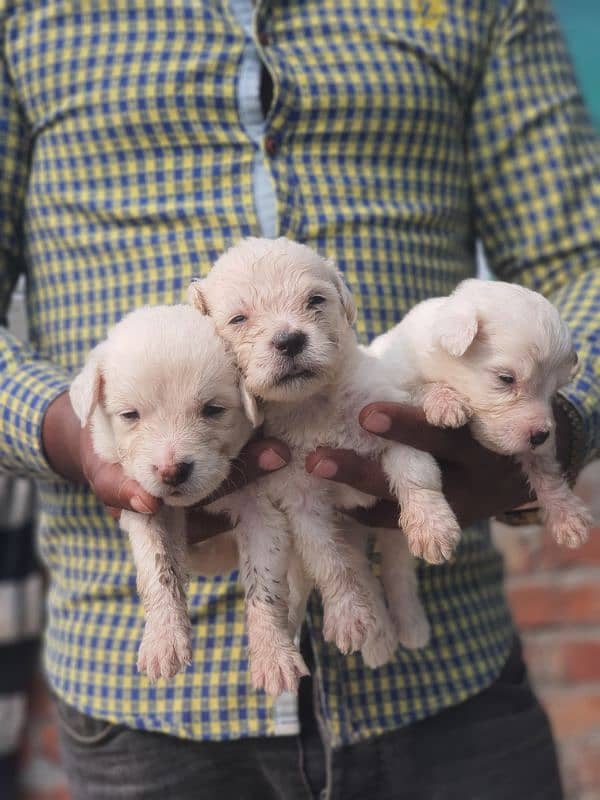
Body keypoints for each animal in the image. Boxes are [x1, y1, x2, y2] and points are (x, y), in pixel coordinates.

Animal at [69, 306, 254, 680]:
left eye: (213, 410)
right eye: (130, 415)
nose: (172, 471)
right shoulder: (139, 501)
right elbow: (158, 568)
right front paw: (164, 639)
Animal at [190, 236, 458, 680]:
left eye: (315, 300)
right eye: (239, 319)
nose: (289, 340)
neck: (313, 404)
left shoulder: (390, 427)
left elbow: (415, 477)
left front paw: (433, 528)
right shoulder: (302, 499)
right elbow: (329, 562)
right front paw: (348, 618)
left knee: (398, 570)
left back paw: (410, 626)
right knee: (360, 571)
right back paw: (377, 638)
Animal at [372, 278, 592, 548]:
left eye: (555, 390)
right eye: (506, 379)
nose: (541, 436)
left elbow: (545, 469)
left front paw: (568, 513)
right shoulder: (392, 376)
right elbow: (419, 387)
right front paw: (446, 402)